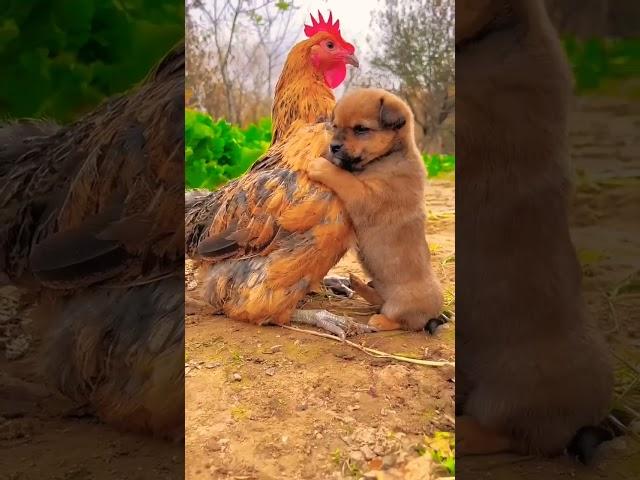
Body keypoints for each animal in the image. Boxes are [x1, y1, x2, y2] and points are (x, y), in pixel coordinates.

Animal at [308, 88, 442, 332]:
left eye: (361, 129)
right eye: (335, 126)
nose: (334, 146)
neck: (388, 156)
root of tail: (434, 314)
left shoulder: (366, 197)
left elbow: (342, 177)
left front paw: (322, 166)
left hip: (401, 304)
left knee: (400, 319)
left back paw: (380, 320)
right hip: (379, 286)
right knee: (378, 299)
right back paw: (358, 284)